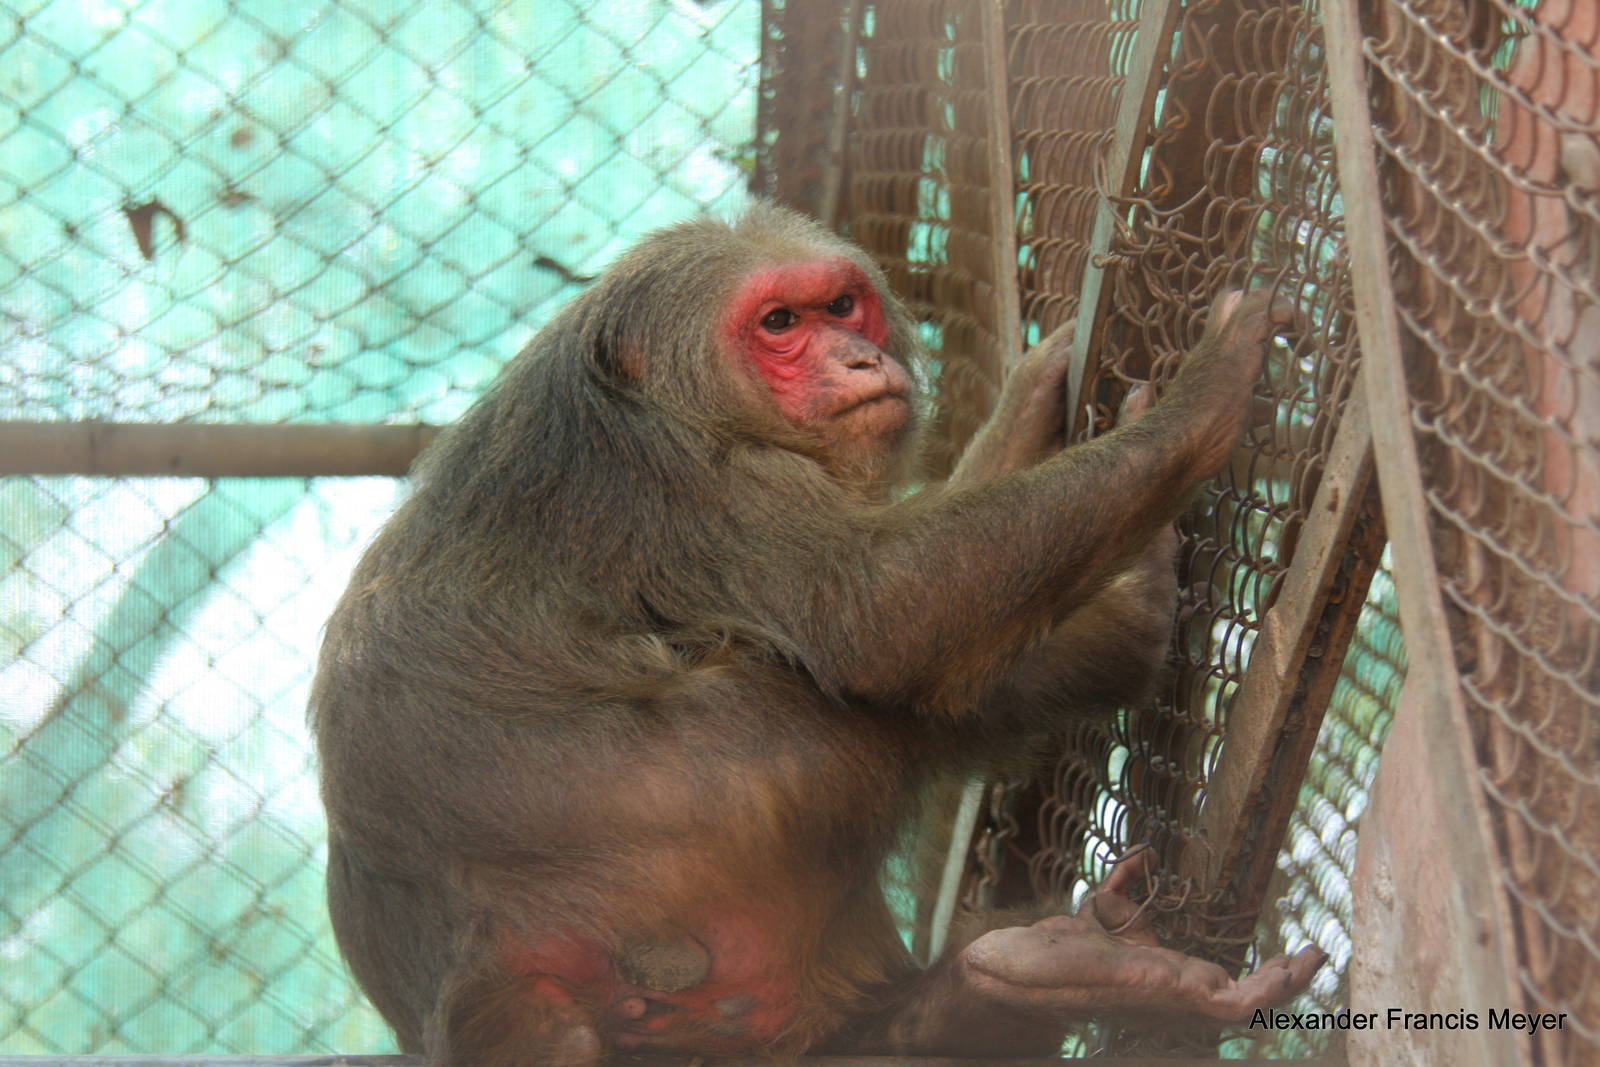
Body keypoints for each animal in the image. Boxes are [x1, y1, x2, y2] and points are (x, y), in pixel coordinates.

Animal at [310, 203, 1322, 1065]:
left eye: (842, 305)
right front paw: (1204, 398)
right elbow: (880, 614)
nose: (859, 359)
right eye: (779, 323)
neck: (681, 400)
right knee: (834, 708)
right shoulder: (688, 486)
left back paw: (1035, 975)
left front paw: (1025, 405)